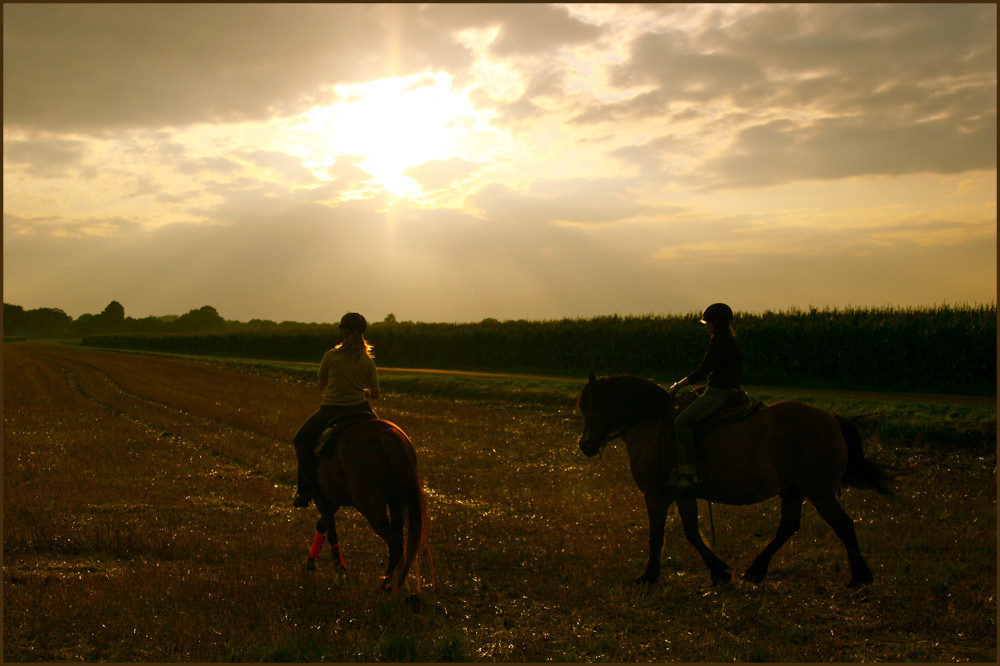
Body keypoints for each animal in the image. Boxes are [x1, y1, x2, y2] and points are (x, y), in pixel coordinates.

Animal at [304, 418, 430, 588]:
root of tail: (386, 435)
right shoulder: (333, 500)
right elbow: (322, 525)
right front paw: (312, 561)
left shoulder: (321, 497)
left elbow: (331, 531)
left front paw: (339, 574)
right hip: (397, 502)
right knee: (399, 538)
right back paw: (399, 583)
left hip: (371, 506)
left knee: (394, 540)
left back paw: (387, 585)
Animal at [576, 374, 896, 588]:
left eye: (590, 408)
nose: (585, 445)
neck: (652, 423)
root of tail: (831, 419)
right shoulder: (682, 493)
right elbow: (691, 532)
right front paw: (718, 571)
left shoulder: (656, 494)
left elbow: (659, 535)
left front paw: (649, 576)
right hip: (795, 491)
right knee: (788, 527)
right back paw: (756, 570)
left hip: (819, 492)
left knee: (843, 525)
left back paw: (860, 577)